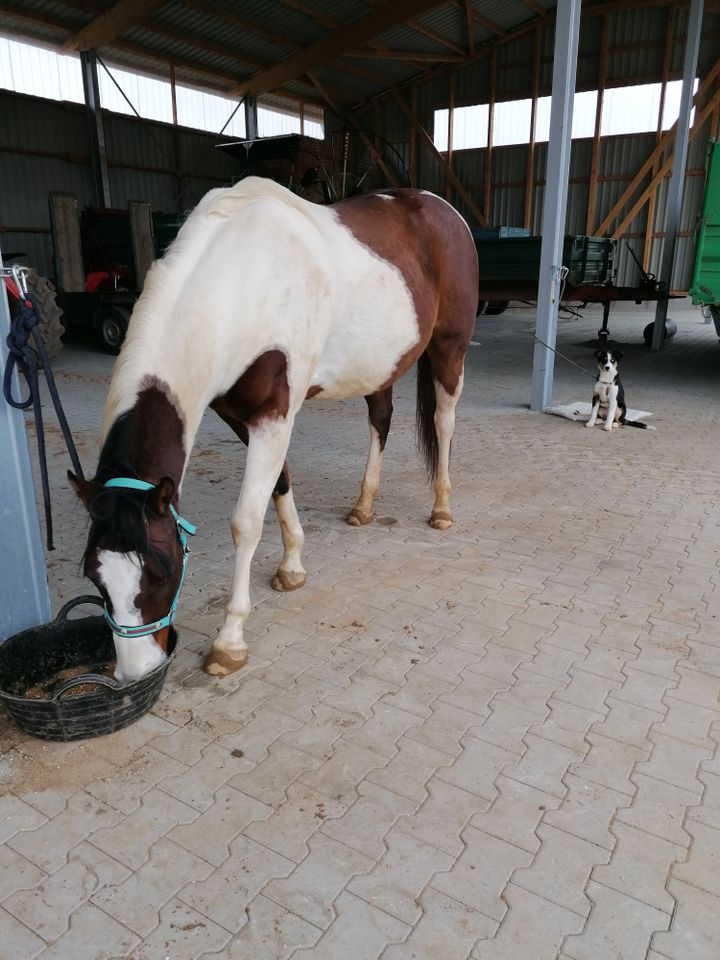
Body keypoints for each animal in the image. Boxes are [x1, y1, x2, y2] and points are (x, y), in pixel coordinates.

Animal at [70, 174, 480, 684]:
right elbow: (280, 483)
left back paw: (441, 508)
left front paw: (229, 641)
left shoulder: (274, 413)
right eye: (94, 576)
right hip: (380, 366)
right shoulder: (238, 414)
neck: (240, 286)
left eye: (163, 570)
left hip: (450, 348)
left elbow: (246, 521)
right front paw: (292, 566)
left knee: (443, 422)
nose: (137, 671)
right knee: (380, 419)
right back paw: (364, 506)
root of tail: (441, 208)